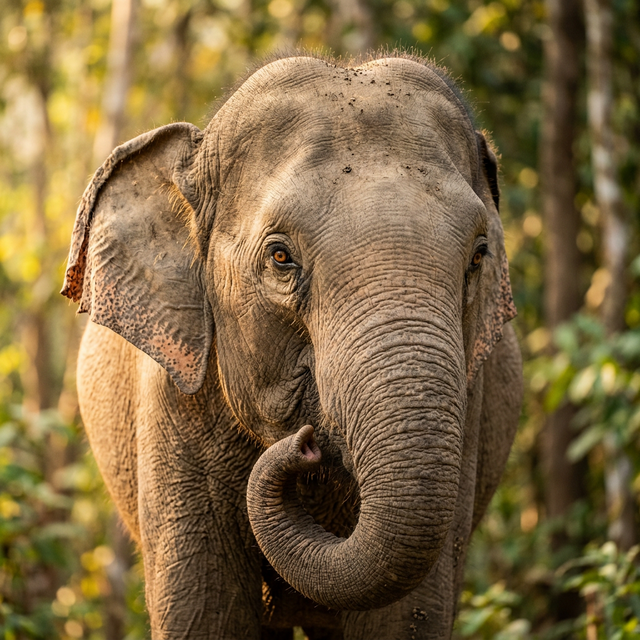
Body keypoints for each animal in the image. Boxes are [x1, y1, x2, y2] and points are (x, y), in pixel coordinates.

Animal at [61, 53, 523, 639]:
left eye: (478, 256)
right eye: (281, 257)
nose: (303, 444)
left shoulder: (468, 403)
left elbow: (403, 618)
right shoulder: (171, 402)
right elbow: (205, 615)